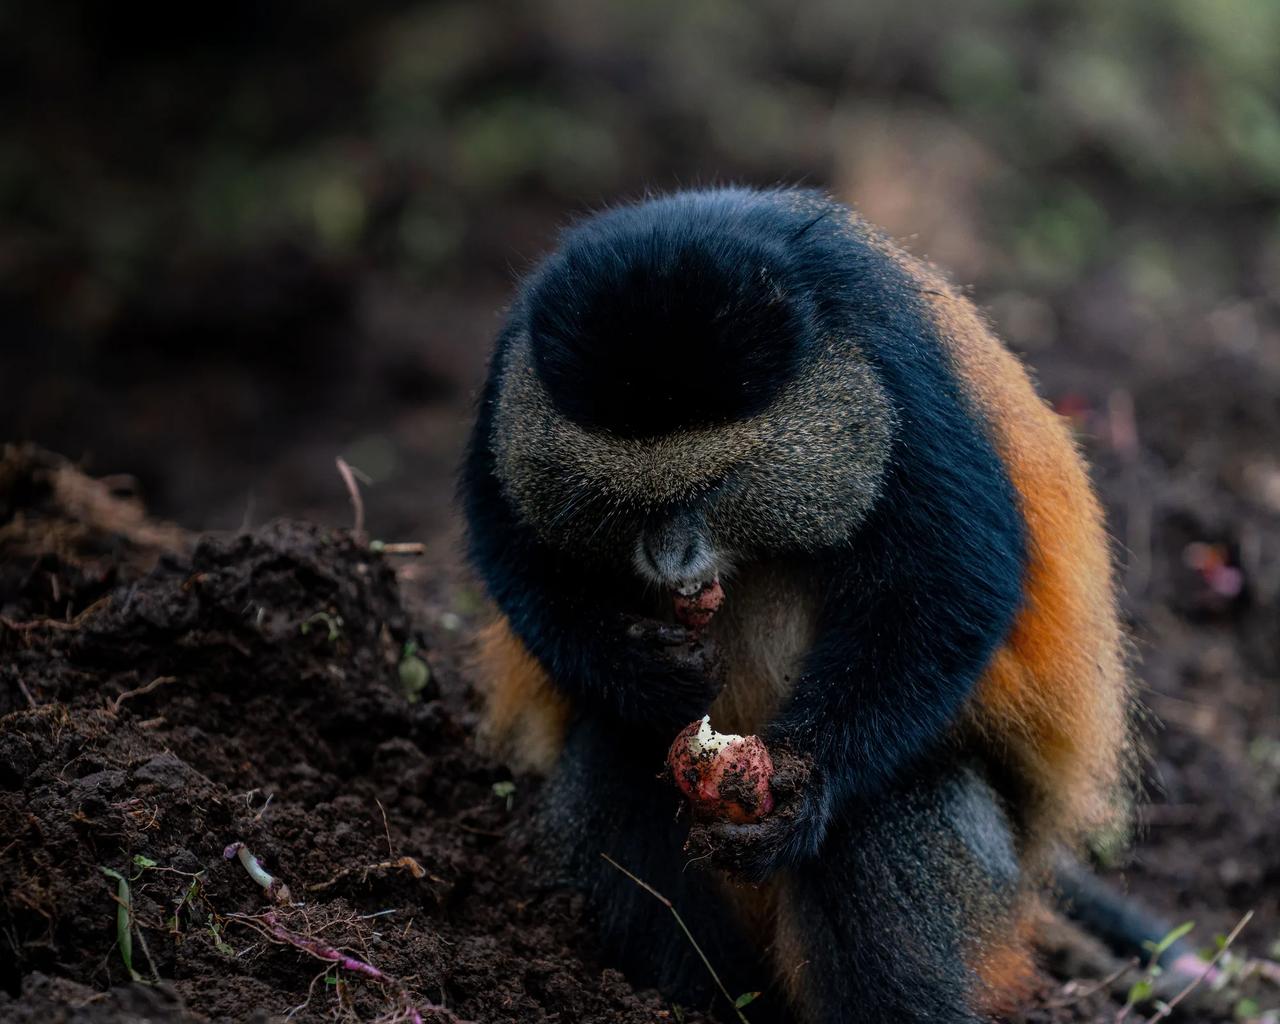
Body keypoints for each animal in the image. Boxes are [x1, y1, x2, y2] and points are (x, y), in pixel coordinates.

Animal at [460, 187, 1194, 1023]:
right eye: (614, 497)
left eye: (716, 486)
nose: (670, 559)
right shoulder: (507, 376)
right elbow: (515, 557)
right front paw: (639, 672)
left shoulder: (899, 377)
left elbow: (951, 584)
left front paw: (805, 789)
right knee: (614, 751)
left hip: (985, 884)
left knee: (885, 814)